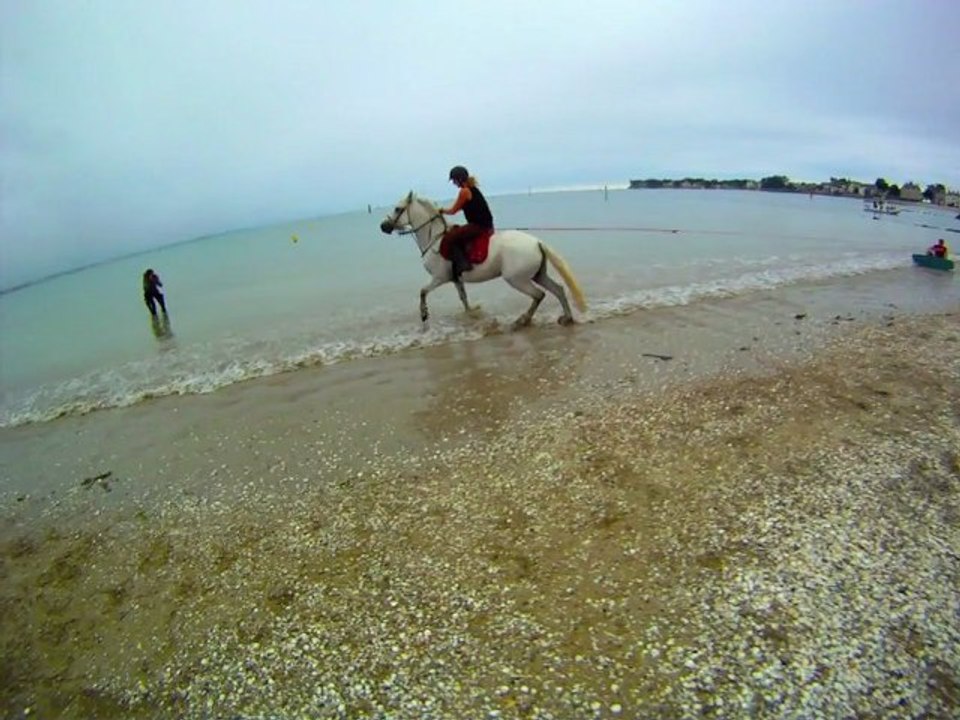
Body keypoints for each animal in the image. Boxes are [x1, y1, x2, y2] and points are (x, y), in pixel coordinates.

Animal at [380, 192, 587, 327]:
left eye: (397, 208)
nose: (383, 226)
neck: (435, 239)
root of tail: (537, 242)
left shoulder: (440, 278)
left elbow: (423, 291)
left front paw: (424, 314)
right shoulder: (456, 279)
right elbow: (463, 299)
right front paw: (471, 313)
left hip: (517, 279)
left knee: (539, 295)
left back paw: (523, 320)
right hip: (537, 275)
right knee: (558, 290)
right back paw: (566, 318)